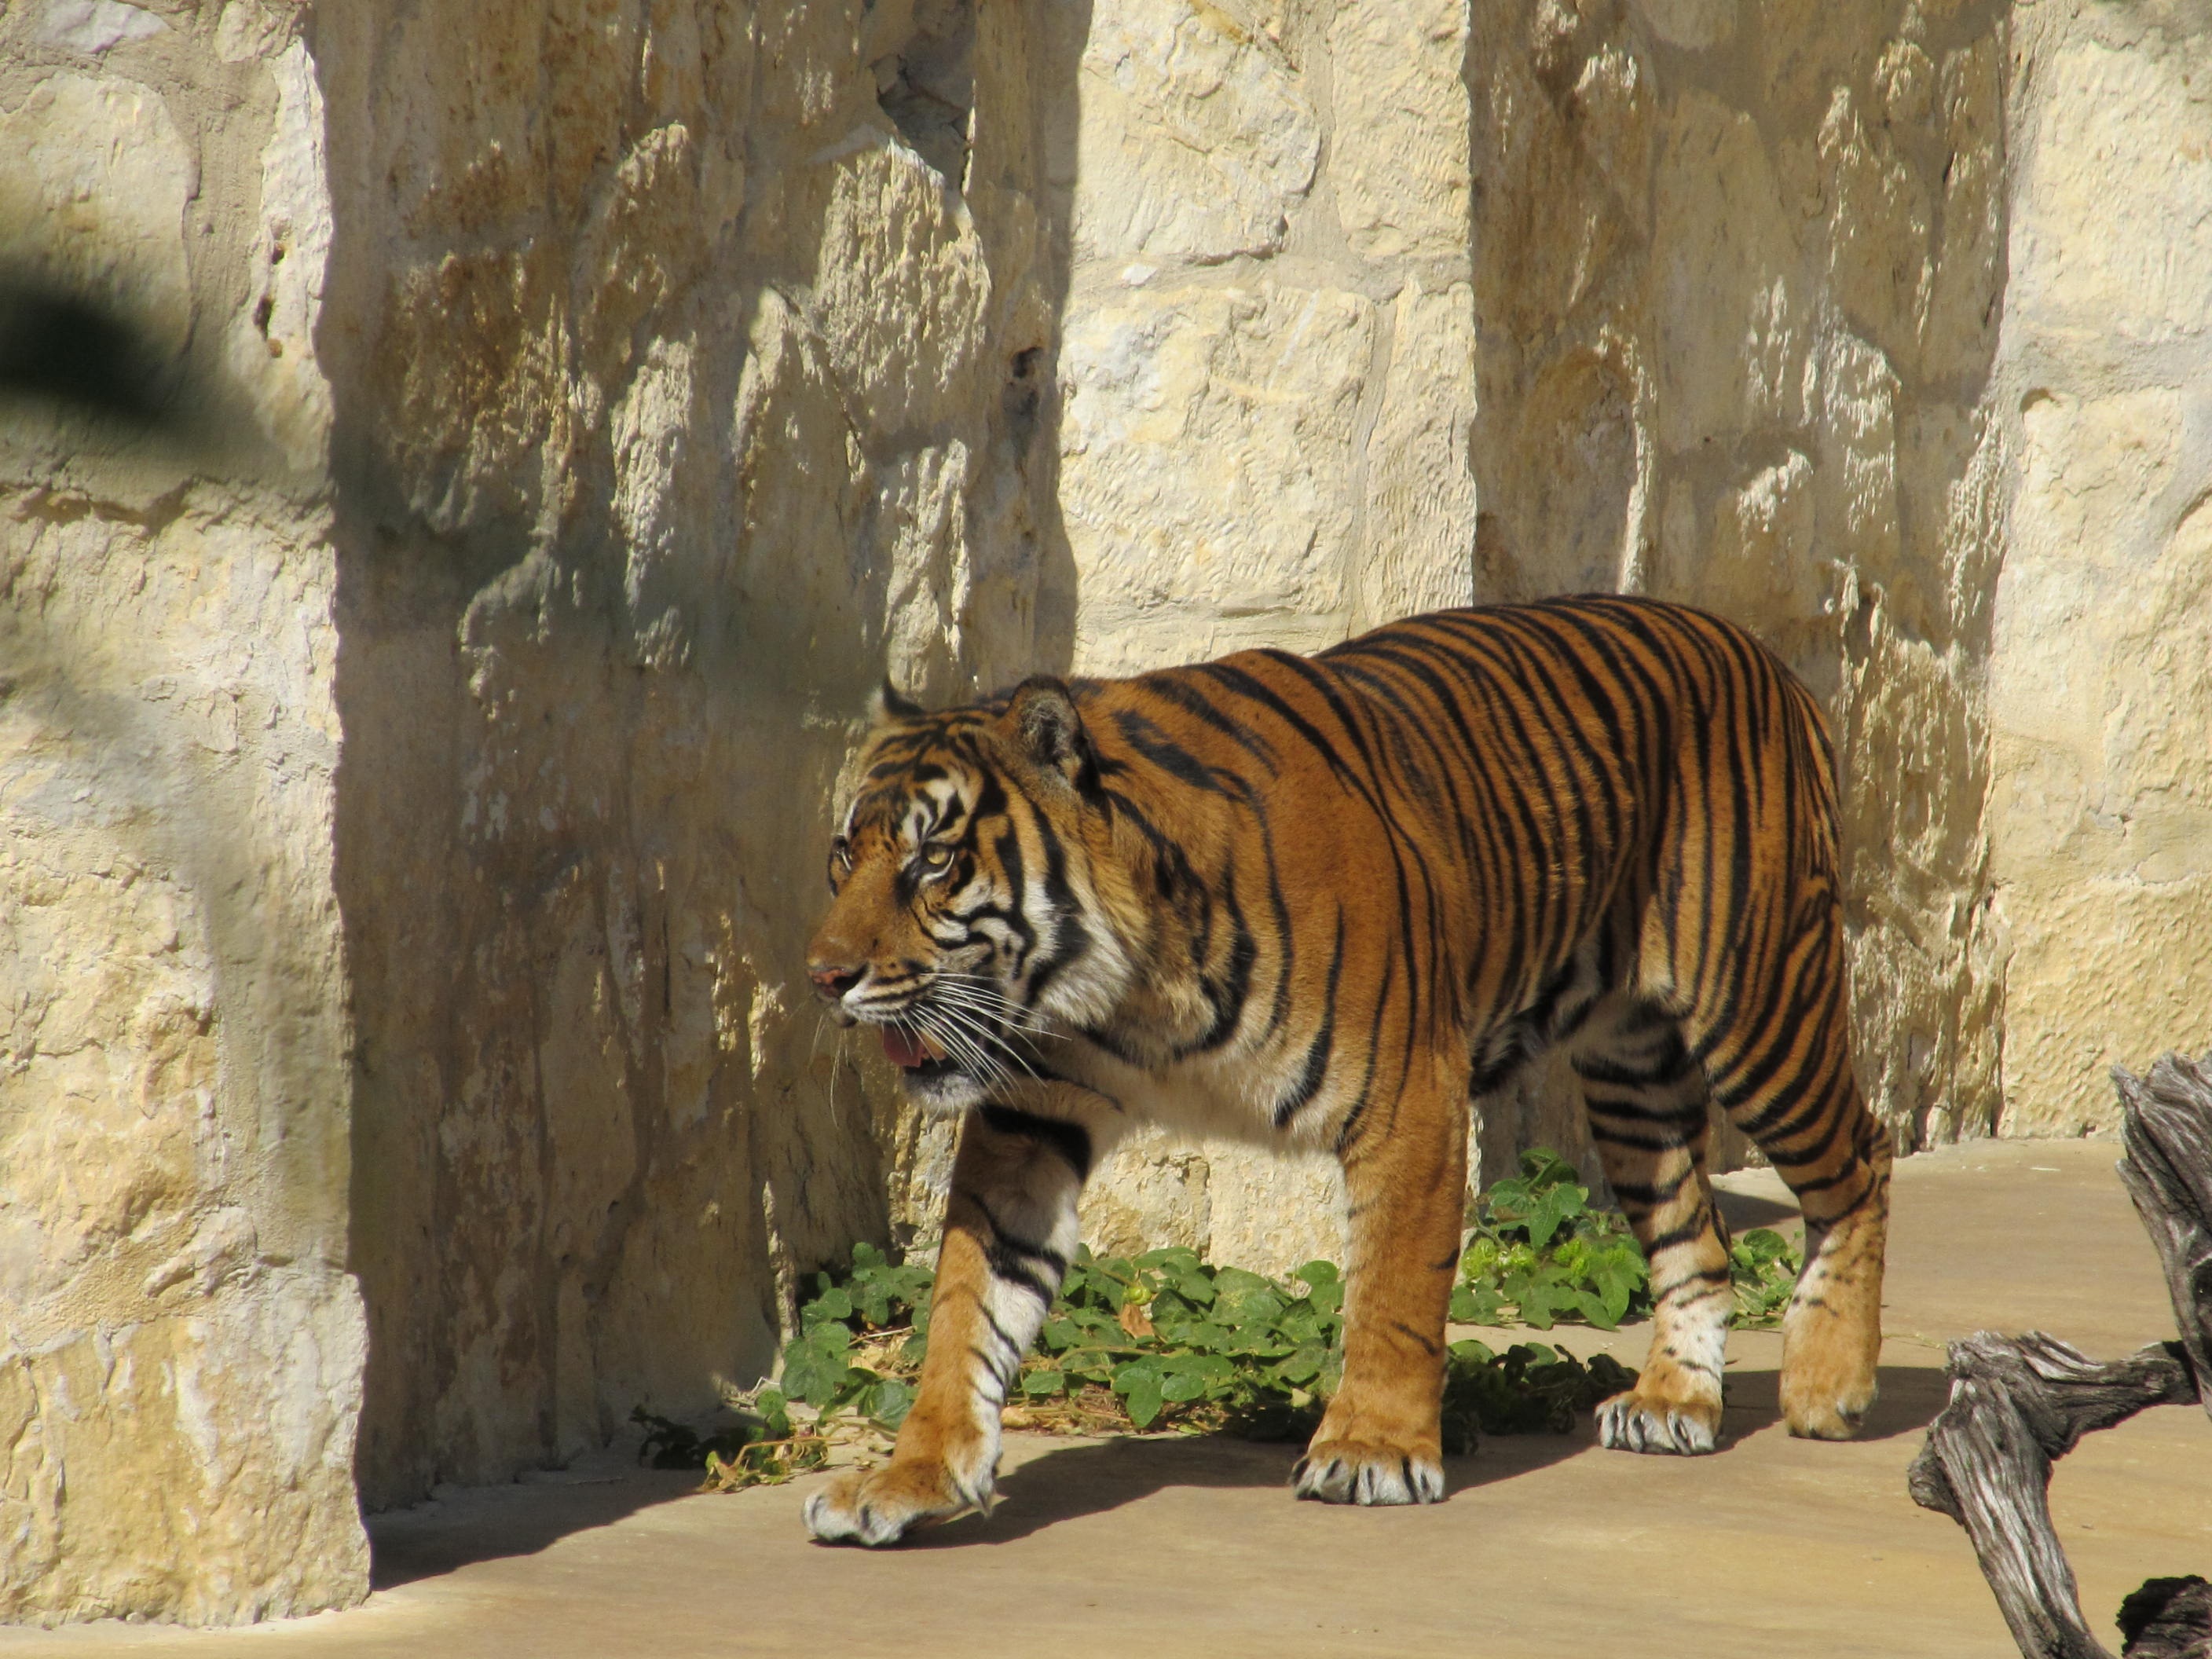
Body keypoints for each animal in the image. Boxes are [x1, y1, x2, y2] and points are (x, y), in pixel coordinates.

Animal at [800, 595, 1892, 1545]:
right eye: (842, 856)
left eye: (932, 863)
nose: (823, 977)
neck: (1125, 996)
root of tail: (1751, 646)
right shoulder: (1029, 1120)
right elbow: (966, 1305)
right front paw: (912, 1477)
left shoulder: (1409, 1095)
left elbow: (1393, 1290)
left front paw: (1369, 1449)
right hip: (1631, 1077)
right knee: (1694, 1233)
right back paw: (1674, 1401)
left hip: (1759, 1007)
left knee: (1860, 1157)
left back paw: (1828, 1385)